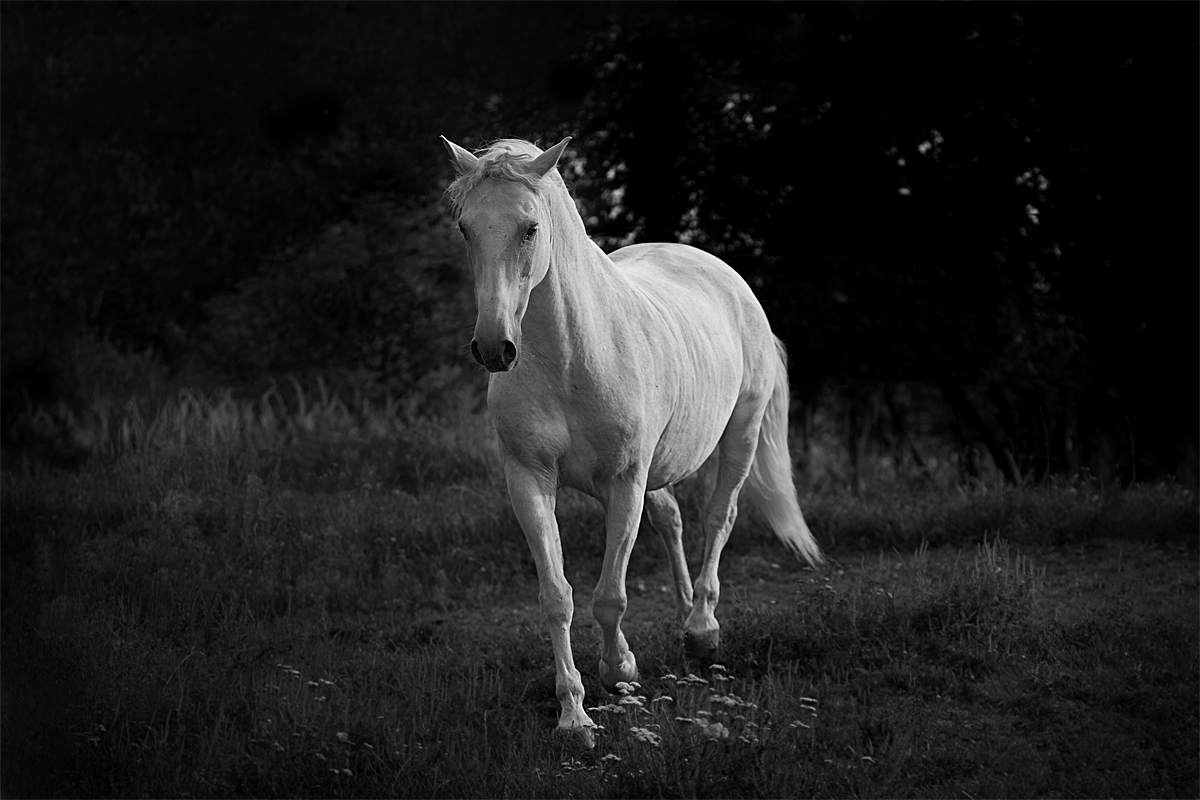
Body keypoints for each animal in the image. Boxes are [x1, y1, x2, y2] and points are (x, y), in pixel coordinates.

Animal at [440, 135, 824, 747]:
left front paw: (619, 671)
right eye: (465, 228)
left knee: (719, 516)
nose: (494, 347)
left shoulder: (624, 481)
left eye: (530, 227)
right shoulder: (529, 479)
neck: (568, 357)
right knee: (672, 519)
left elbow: (611, 595)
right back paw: (685, 615)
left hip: (739, 435)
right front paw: (574, 715)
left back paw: (702, 630)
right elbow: (558, 596)